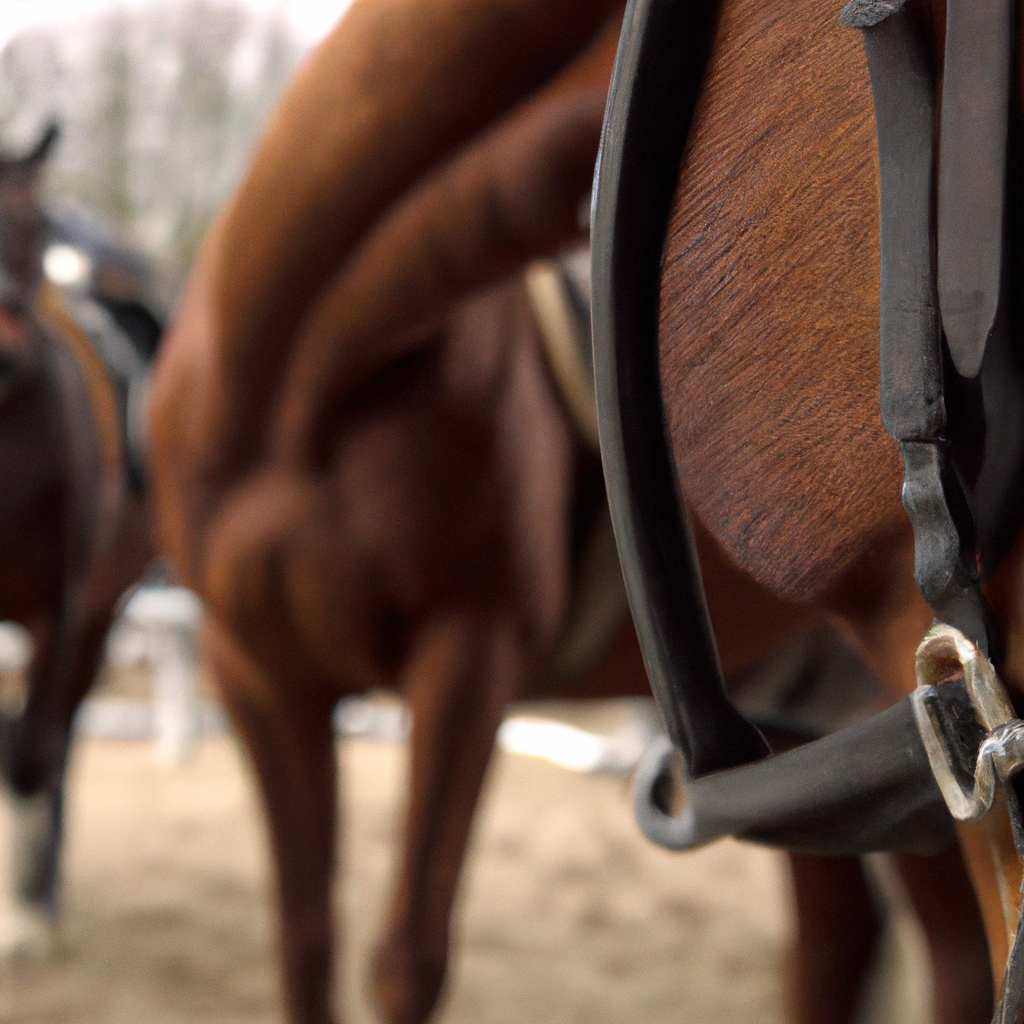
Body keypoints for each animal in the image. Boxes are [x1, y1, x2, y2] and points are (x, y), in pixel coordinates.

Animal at [149, 2, 991, 1024]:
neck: (298, 381)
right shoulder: (258, 674)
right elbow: (303, 944)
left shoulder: (467, 663)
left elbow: (405, 960)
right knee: (838, 939)